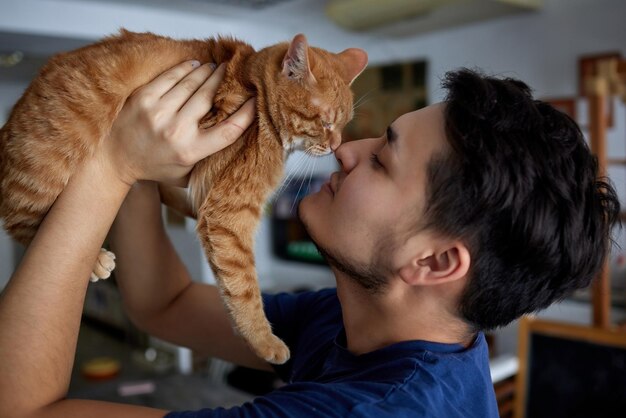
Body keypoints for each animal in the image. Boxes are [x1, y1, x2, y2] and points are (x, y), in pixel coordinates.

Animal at [0, 30, 366, 362]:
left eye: (344, 124)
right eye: (326, 122)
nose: (336, 147)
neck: (256, 95)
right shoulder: (228, 215)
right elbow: (243, 287)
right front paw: (264, 342)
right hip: (47, 168)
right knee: (21, 223)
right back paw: (97, 260)